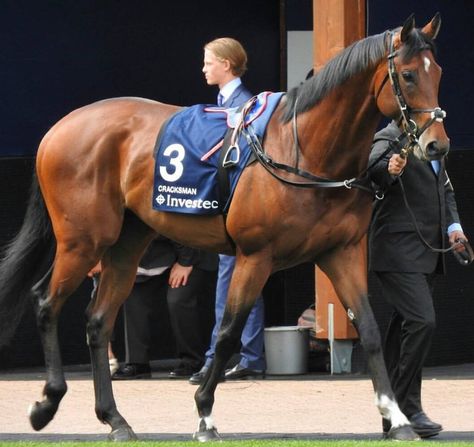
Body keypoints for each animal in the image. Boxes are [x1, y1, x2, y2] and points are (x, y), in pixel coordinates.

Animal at [0, 14, 446, 444]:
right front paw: (204, 415)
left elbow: (368, 329)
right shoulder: (255, 256)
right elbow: (228, 331)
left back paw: (115, 420)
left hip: (126, 243)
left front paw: (398, 417)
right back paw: (47, 403)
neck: (302, 150)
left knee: (98, 320)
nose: (437, 145)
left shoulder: (342, 252)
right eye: (408, 75)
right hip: (83, 240)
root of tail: (60, 128)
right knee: (45, 302)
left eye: (438, 72)